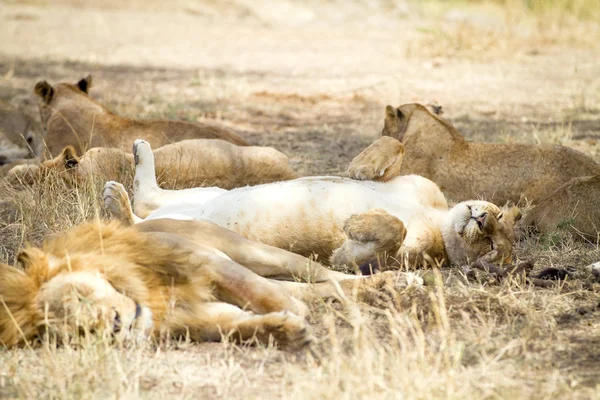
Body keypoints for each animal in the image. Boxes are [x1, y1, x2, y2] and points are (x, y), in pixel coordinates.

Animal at [0, 217, 422, 348]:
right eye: (80, 332)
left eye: (83, 297)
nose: (117, 327)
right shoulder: (194, 320)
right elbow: (238, 327)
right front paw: (284, 330)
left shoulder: (203, 260)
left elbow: (258, 291)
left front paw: (291, 314)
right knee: (323, 288)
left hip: (255, 252)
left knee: (326, 275)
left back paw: (399, 282)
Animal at [102, 137, 520, 268]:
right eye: (499, 217)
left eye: (492, 248)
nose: (481, 219)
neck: (436, 216)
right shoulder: (419, 183)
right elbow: (395, 145)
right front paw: (360, 168)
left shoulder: (392, 262)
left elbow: (390, 232)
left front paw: (353, 226)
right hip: (206, 194)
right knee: (149, 198)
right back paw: (138, 156)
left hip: (193, 226)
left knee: (136, 224)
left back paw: (116, 204)